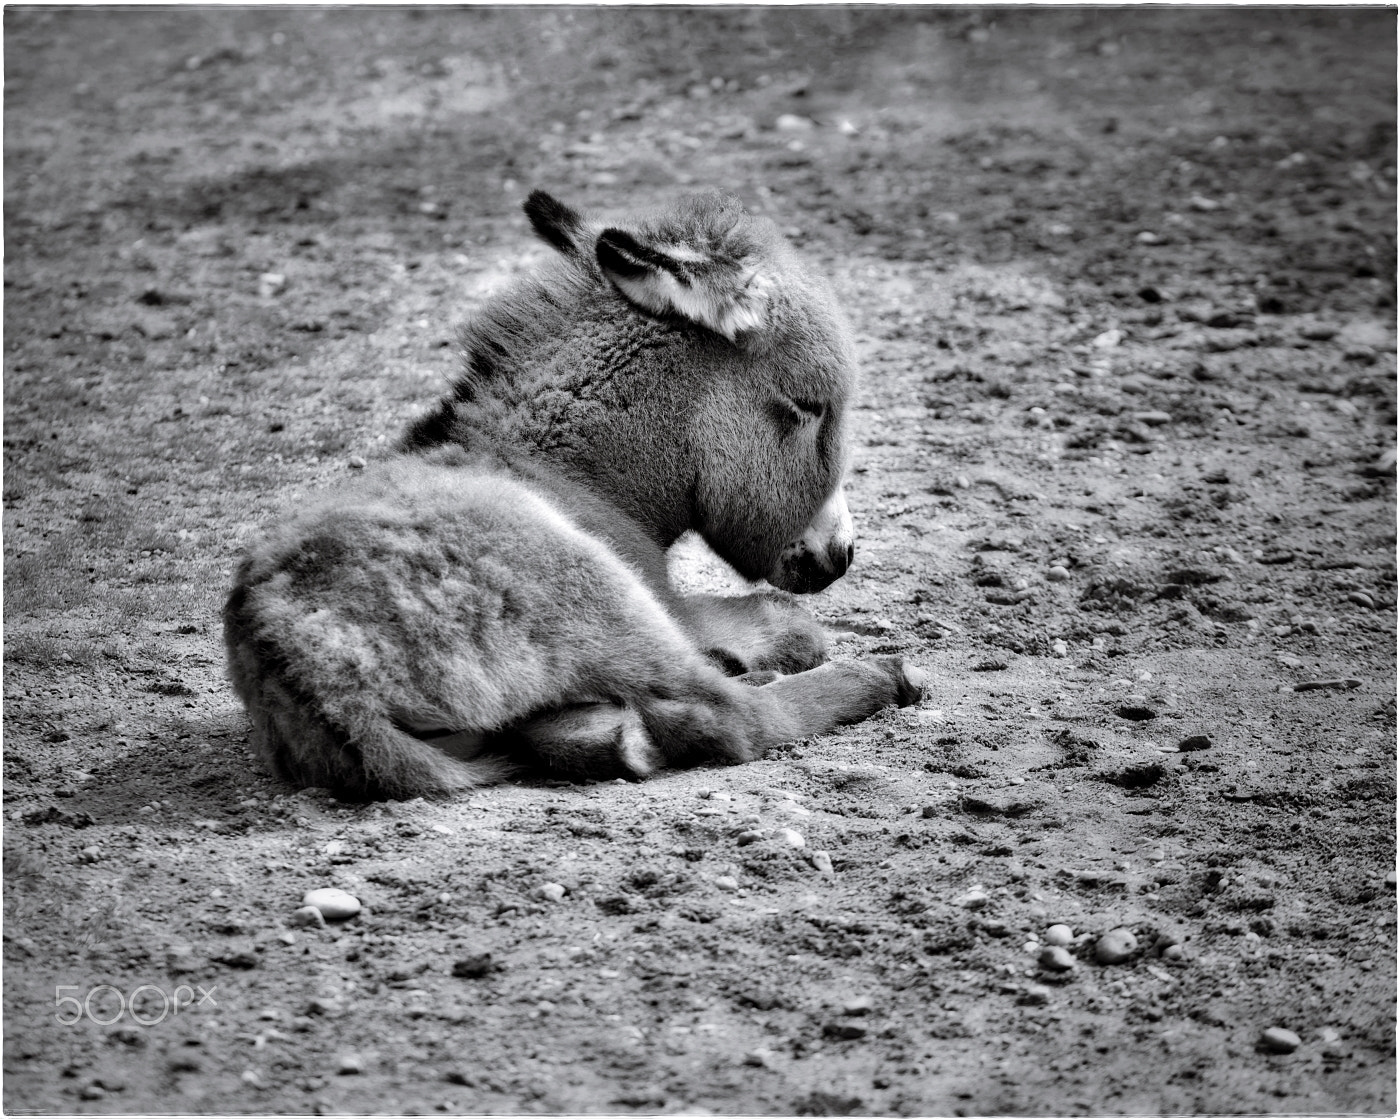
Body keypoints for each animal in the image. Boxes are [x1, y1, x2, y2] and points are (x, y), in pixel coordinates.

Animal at [223, 190, 925, 800]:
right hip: (595, 595)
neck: (569, 471)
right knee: (727, 716)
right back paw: (876, 676)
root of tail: (308, 672)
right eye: (807, 406)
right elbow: (793, 624)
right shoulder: (665, 601)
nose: (841, 556)